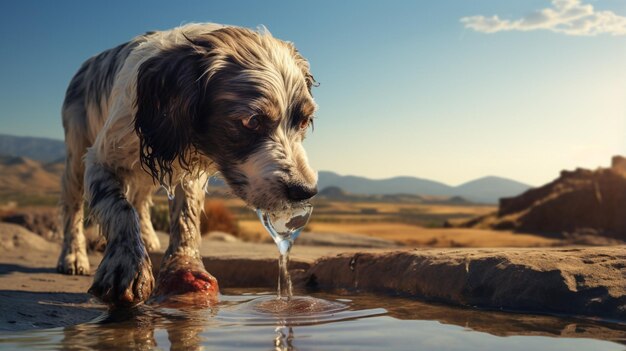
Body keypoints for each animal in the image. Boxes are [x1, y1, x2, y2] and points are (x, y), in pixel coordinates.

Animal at [56, 22, 320, 308]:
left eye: (304, 120)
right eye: (252, 121)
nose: (304, 191)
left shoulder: (187, 172)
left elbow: (186, 216)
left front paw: (184, 266)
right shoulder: (102, 159)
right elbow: (119, 208)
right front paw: (127, 265)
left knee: (140, 200)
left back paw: (148, 238)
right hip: (76, 153)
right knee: (74, 207)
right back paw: (72, 256)